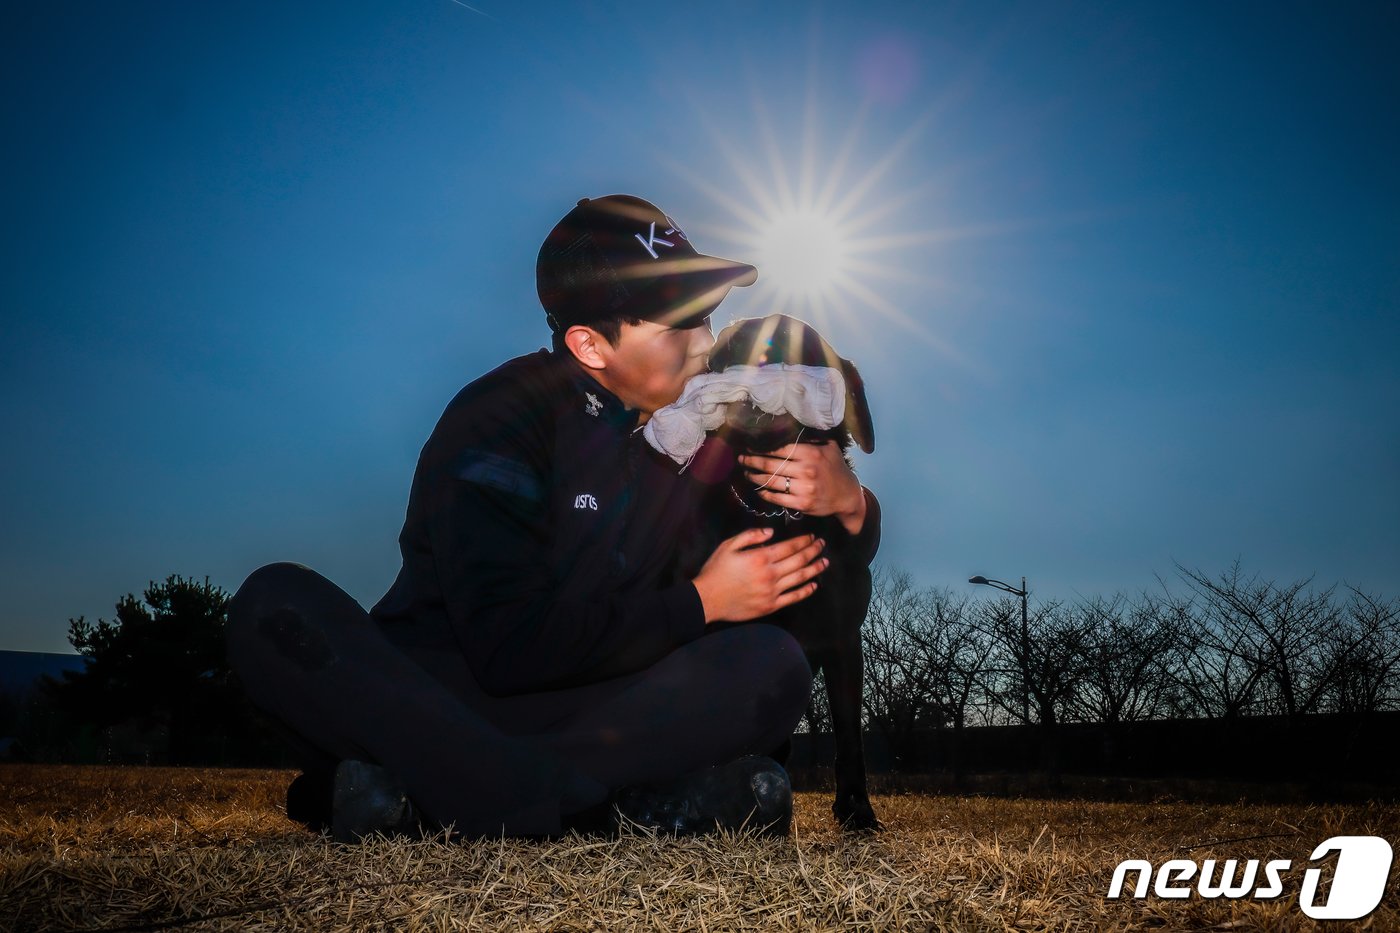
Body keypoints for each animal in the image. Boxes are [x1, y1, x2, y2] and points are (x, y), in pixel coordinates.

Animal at [674, 312, 879, 829]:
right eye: (727, 345)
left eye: (789, 338)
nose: (741, 356)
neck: (774, 509)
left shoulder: (843, 639)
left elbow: (850, 738)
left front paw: (858, 812)